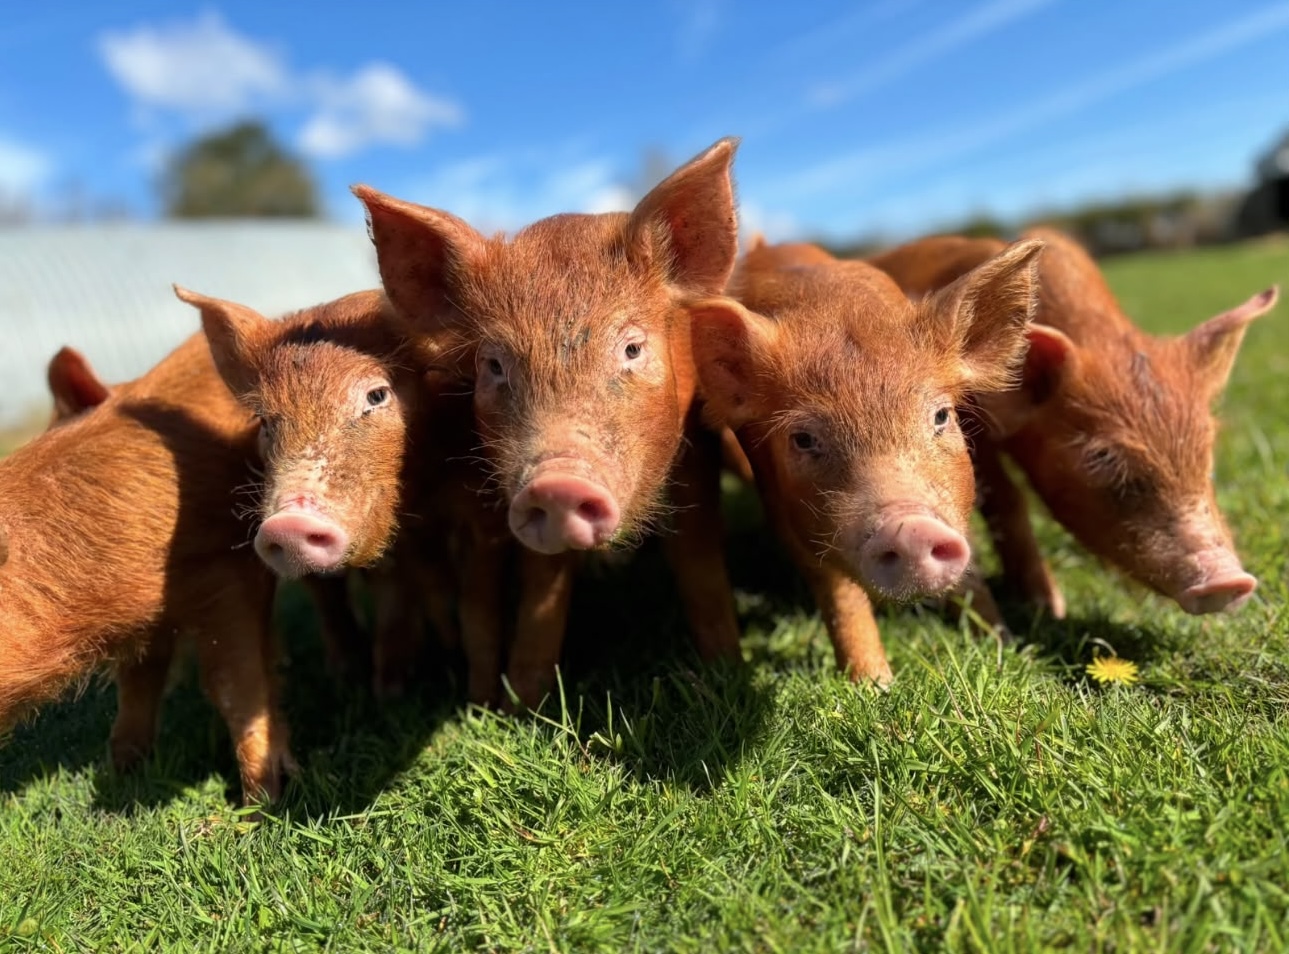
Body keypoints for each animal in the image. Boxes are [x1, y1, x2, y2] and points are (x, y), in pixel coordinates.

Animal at [0, 333, 293, 804]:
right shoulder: (148, 619)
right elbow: (138, 682)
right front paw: (122, 773)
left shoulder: (227, 574)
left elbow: (233, 687)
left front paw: (261, 804)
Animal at [174, 287, 513, 705]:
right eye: (265, 420)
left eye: (377, 395)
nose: (288, 523)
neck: (422, 493)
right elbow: (376, 595)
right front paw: (379, 691)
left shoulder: (482, 517)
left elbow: (476, 610)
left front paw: (479, 702)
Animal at [353, 137, 745, 708]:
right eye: (493, 365)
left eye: (632, 348)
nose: (558, 483)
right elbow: (544, 590)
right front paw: (520, 706)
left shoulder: (694, 450)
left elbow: (699, 566)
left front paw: (726, 672)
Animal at [689, 237, 1043, 684]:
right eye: (803, 439)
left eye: (941, 415)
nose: (911, 529)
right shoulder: (788, 513)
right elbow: (840, 594)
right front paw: (876, 684)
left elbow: (973, 570)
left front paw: (1004, 645)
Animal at [870, 227, 1278, 618]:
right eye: (1101, 457)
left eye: (1206, 455)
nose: (1229, 580)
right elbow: (1005, 499)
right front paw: (1050, 608)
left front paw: (1052, 607)